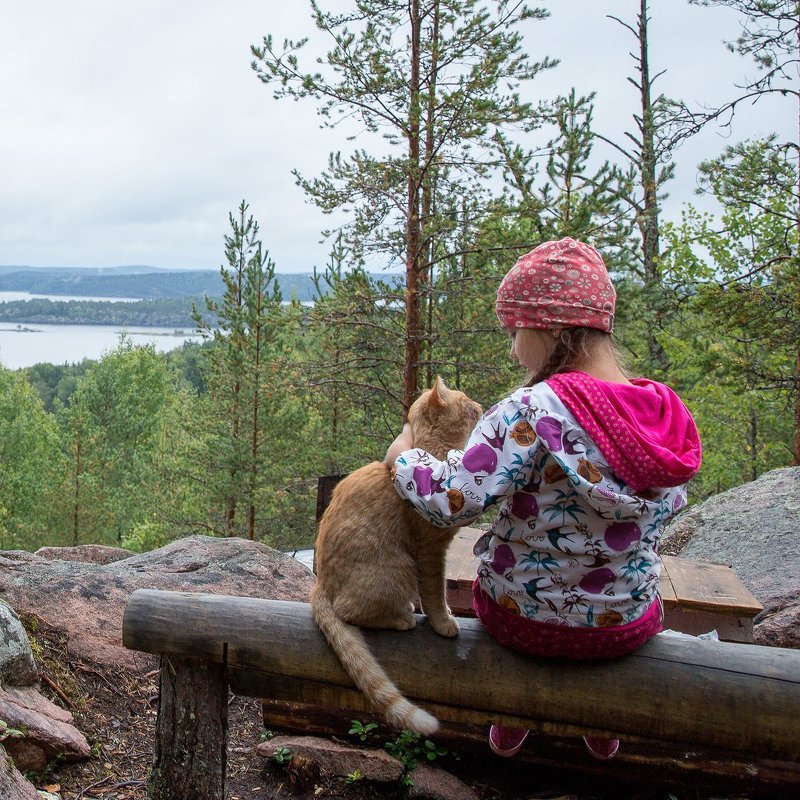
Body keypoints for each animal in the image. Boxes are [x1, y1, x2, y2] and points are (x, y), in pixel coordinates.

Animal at [312, 378, 482, 736]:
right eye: (464, 401)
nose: (479, 404)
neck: (435, 450)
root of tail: (319, 585)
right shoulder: (430, 550)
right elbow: (435, 593)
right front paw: (444, 623)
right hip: (400, 568)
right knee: (349, 612)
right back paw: (402, 618)